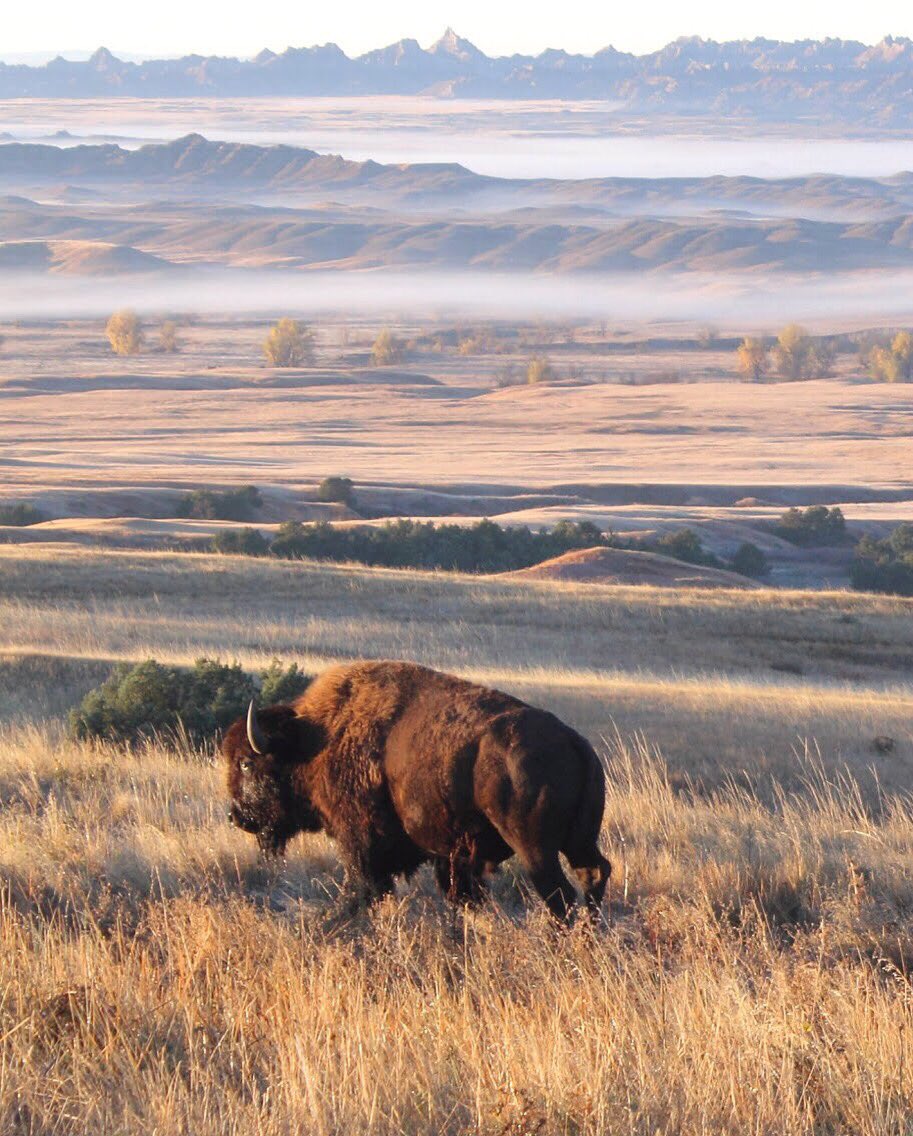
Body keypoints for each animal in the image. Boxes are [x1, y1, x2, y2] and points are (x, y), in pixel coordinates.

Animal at [223, 660, 610, 921]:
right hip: (579, 840)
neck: (315, 738)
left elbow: (362, 888)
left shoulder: (359, 841)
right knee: (593, 872)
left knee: (560, 894)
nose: (236, 816)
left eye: (246, 763)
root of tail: (572, 740)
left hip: (534, 848)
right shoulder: (452, 859)